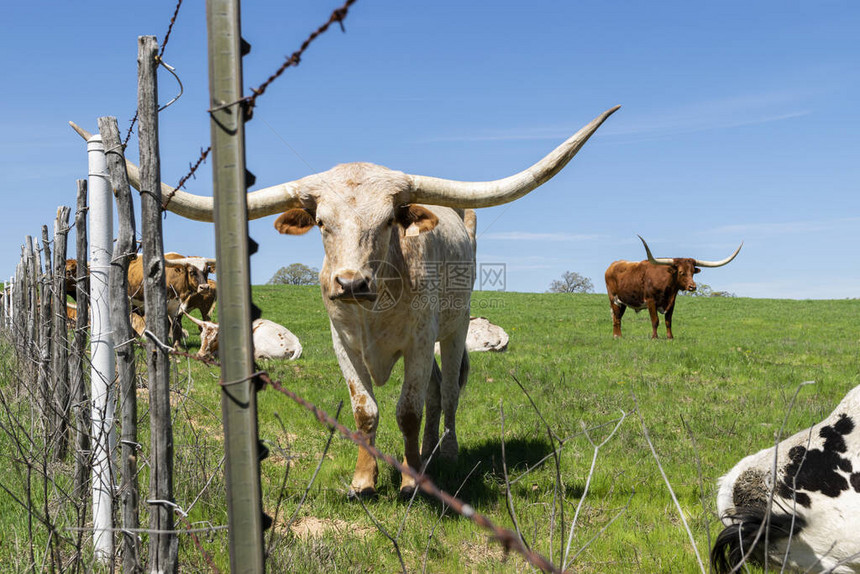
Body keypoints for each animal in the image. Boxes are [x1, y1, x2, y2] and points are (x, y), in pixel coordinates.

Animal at [69, 107, 620, 500]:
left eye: (390, 220)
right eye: (321, 223)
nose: (351, 282)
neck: (375, 304)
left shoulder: (419, 341)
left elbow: (408, 410)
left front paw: (410, 479)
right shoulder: (342, 343)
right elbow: (366, 410)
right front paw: (363, 481)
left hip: (455, 327)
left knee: (447, 396)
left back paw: (444, 452)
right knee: (437, 391)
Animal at [604, 235, 740, 340]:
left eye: (692, 272)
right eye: (681, 272)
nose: (692, 287)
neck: (668, 288)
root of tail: (612, 266)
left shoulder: (672, 302)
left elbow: (668, 321)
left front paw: (670, 337)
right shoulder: (651, 301)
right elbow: (655, 320)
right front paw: (655, 338)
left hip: (623, 302)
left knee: (617, 317)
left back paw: (618, 336)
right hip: (613, 299)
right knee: (616, 318)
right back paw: (617, 337)